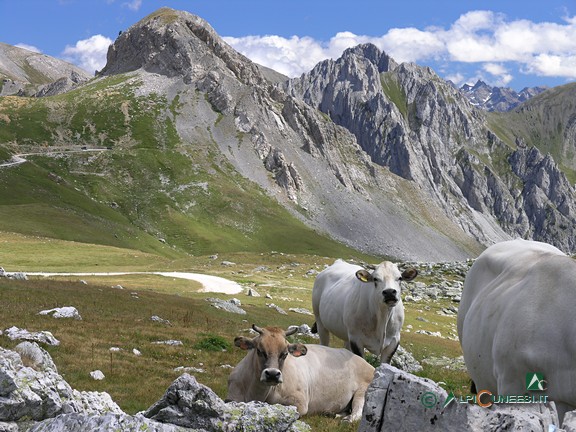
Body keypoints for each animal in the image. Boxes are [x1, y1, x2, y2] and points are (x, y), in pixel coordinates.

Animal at [227, 324, 376, 422]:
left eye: (285, 354)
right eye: (259, 351)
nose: (272, 374)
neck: (257, 393)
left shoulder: (300, 403)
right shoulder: (231, 397)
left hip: (363, 390)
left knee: (357, 413)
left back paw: (347, 418)